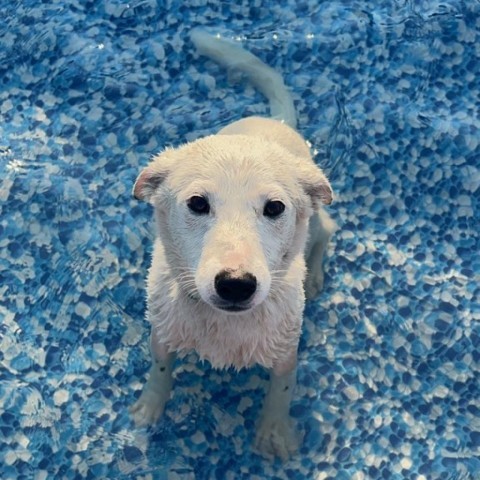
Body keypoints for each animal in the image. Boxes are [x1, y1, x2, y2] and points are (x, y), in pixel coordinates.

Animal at [129, 30, 336, 462]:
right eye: (197, 203)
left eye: (275, 207)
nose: (236, 284)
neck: (224, 324)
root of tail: (273, 122)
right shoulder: (162, 331)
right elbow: (160, 370)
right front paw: (150, 406)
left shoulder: (285, 351)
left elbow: (281, 393)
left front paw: (273, 433)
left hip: (319, 218)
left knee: (328, 230)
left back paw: (315, 276)